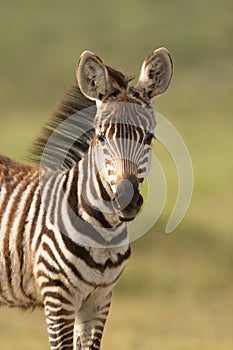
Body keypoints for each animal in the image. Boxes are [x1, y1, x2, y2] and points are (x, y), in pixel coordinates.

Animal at [0, 47, 171, 348]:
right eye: (101, 137)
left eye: (148, 138)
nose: (126, 200)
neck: (103, 233)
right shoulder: (58, 300)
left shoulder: (99, 301)